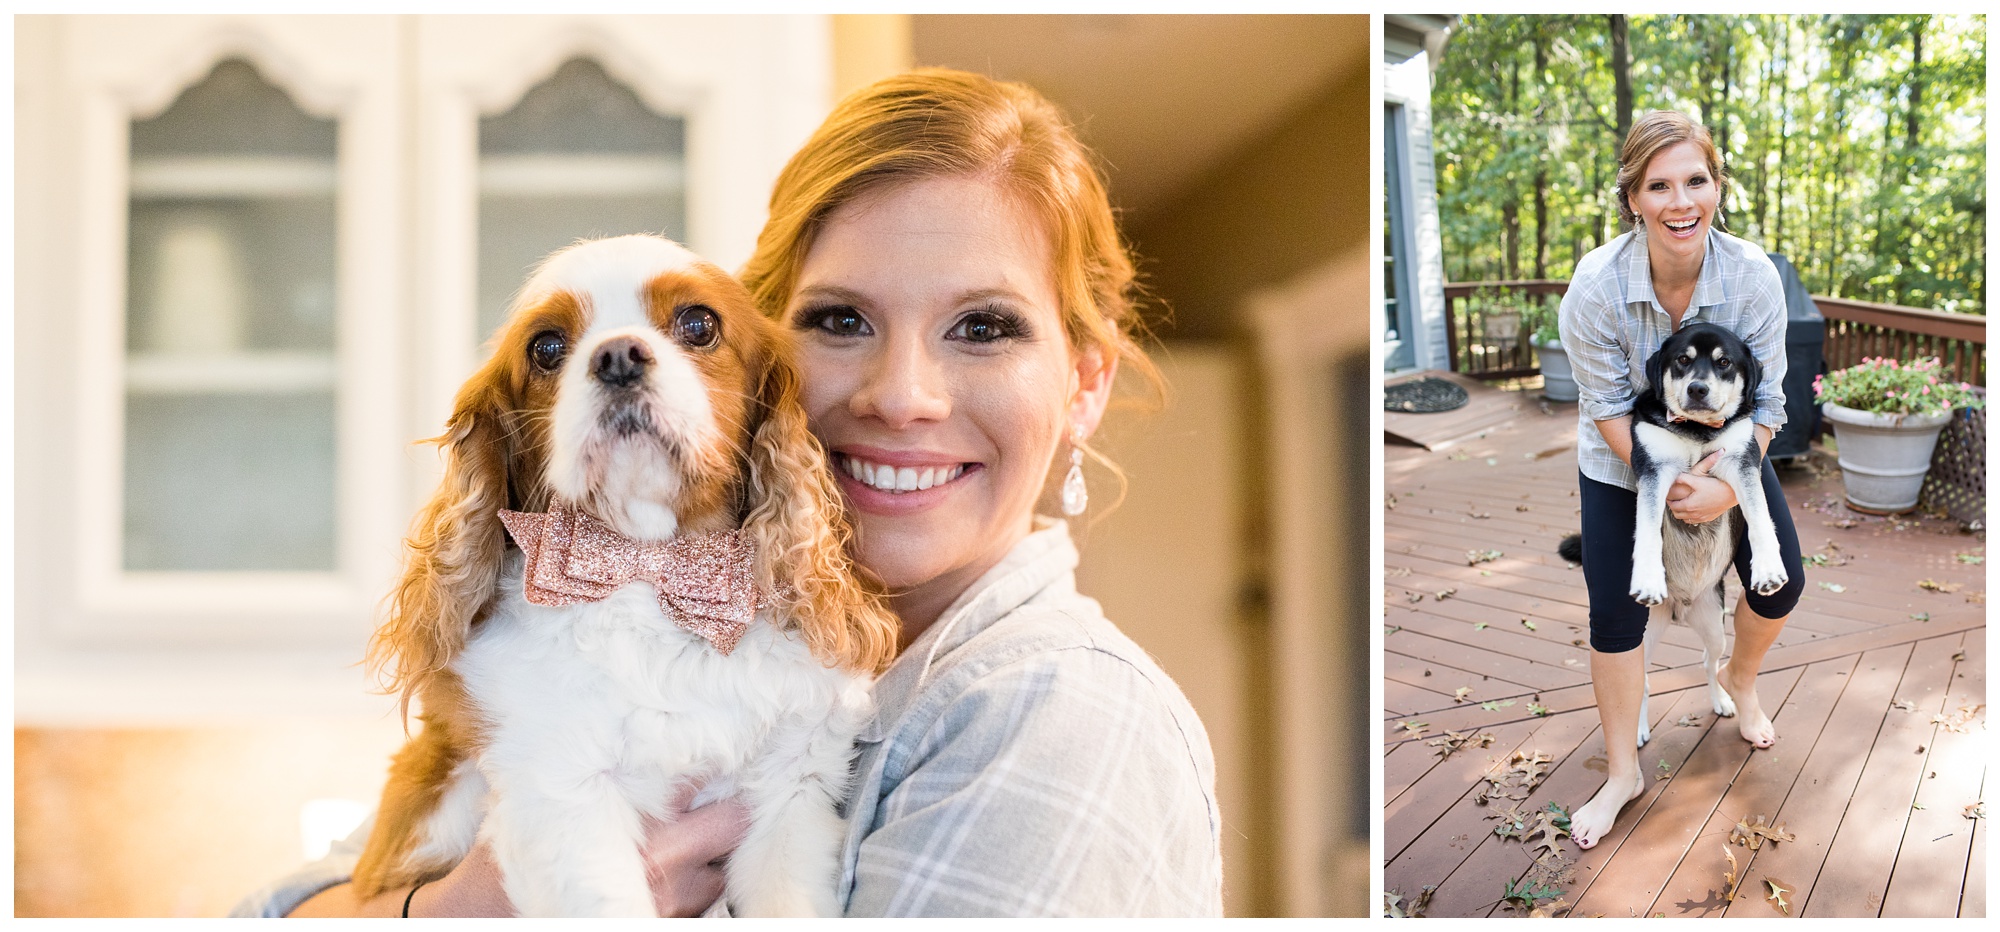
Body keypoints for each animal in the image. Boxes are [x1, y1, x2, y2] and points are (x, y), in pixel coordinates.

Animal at [354, 235, 900, 916]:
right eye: (546, 347)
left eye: (699, 324)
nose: (617, 356)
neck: (647, 573)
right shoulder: (562, 793)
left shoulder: (791, 794)